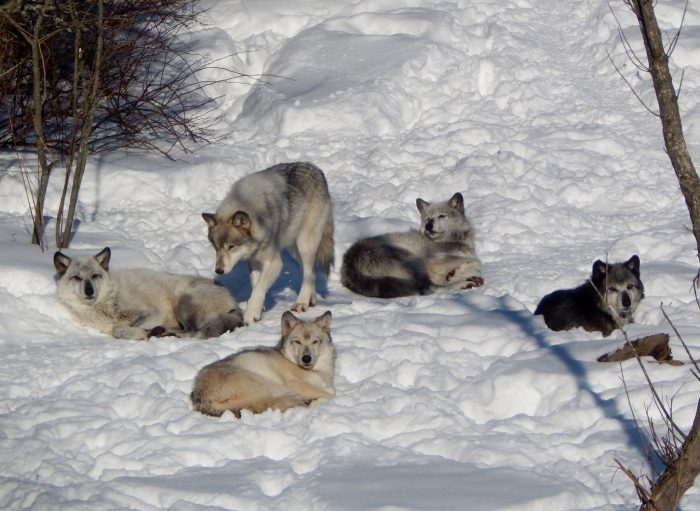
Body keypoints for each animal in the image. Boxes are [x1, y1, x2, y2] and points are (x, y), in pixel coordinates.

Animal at [54, 247, 243, 340]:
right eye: (77, 277)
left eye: (94, 276)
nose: (89, 290)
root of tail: (234, 302)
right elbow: (116, 329)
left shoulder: (153, 313)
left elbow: (118, 329)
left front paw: (138, 334)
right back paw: (159, 332)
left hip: (184, 303)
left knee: (195, 332)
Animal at [190, 310, 335, 417]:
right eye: (297, 341)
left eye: (315, 341)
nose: (306, 358)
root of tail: (202, 397)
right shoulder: (294, 384)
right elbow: (331, 392)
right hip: (271, 384)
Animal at [202, 162, 334, 325]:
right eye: (216, 248)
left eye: (231, 247)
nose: (218, 271)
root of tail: (316, 168)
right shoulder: (253, 261)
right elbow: (256, 284)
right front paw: (260, 310)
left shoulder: (275, 262)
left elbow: (259, 287)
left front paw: (251, 313)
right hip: (293, 248)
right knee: (312, 273)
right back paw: (311, 300)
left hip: (305, 245)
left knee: (309, 273)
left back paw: (301, 302)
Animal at [340, 192, 482, 298]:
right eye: (427, 218)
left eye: (442, 216)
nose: (428, 225)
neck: (449, 241)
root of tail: (350, 267)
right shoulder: (435, 262)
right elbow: (476, 262)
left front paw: (455, 273)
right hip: (414, 261)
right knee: (427, 289)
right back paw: (465, 283)